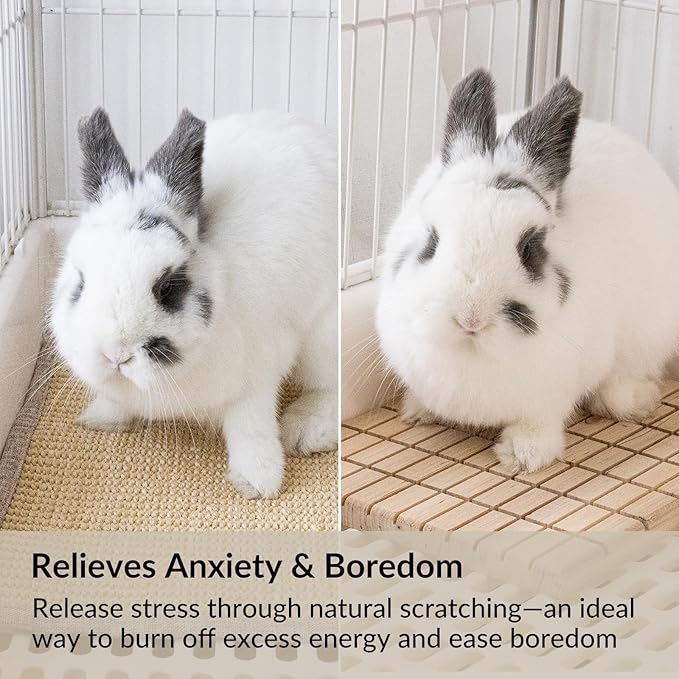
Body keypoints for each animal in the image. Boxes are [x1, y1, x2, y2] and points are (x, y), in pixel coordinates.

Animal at [50, 107, 337, 498]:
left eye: (168, 287)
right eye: (80, 283)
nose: (116, 355)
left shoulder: (257, 377)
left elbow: (251, 429)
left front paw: (258, 483)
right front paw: (102, 418)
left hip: (324, 337)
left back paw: (303, 431)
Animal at [376, 69, 679, 472]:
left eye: (529, 249)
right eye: (432, 241)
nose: (470, 319)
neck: (473, 354)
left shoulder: (551, 395)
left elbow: (540, 423)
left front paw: (523, 457)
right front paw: (418, 410)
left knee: (618, 388)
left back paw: (638, 398)